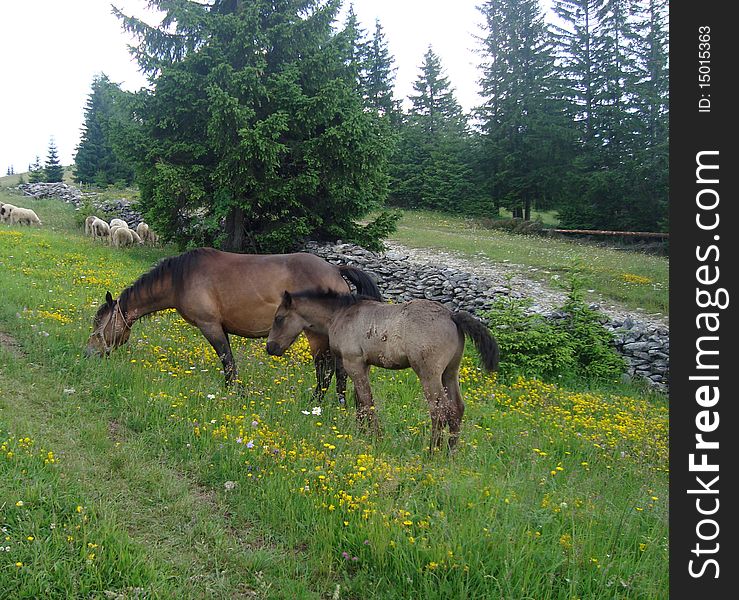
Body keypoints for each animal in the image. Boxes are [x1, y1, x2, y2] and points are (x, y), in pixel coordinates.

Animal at [86, 246, 382, 400]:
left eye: (98, 323)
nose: (89, 353)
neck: (182, 277)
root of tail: (335, 269)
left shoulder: (210, 326)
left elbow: (227, 361)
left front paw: (233, 392)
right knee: (338, 371)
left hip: (316, 336)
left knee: (326, 370)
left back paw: (317, 404)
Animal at [264, 290, 500, 450]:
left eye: (279, 318)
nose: (270, 348)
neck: (341, 314)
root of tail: (452, 316)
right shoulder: (363, 365)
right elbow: (360, 402)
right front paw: (361, 433)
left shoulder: (353, 363)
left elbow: (367, 402)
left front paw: (376, 438)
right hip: (450, 373)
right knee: (457, 409)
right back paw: (450, 452)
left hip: (429, 374)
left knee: (439, 410)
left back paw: (432, 452)